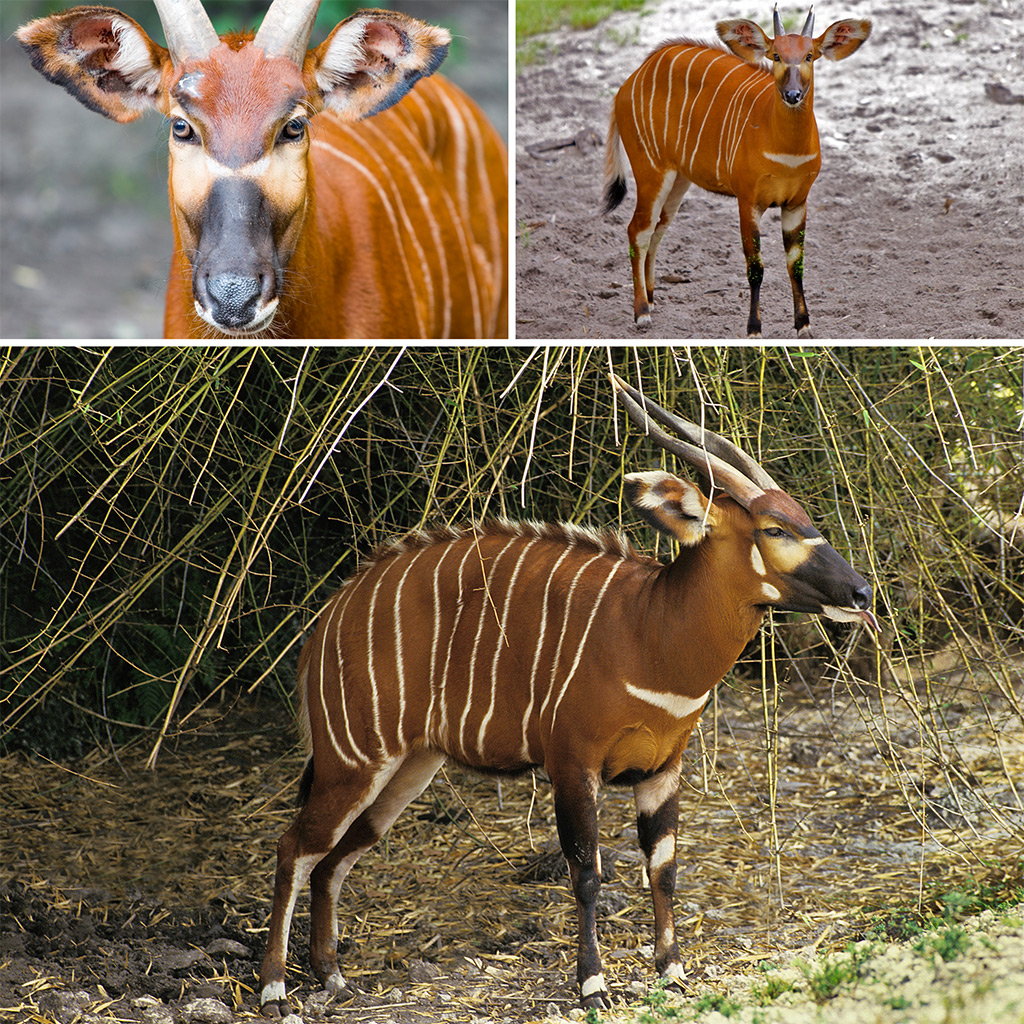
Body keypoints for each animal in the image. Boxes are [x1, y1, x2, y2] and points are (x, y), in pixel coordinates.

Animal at [260, 372, 876, 1011]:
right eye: (774, 529)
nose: (860, 593)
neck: (649, 631)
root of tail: (326, 621)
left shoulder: (663, 769)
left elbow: (663, 868)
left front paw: (672, 971)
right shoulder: (573, 765)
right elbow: (586, 872)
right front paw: (593, 985)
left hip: (405, 771)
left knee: (334, 857)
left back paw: (331, 974)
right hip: (353, 762)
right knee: (294, 847)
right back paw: (275, 988)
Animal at [602, 7, 868, 335]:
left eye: (809, 56)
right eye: (776, 55)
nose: (793, 94)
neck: (785, 151)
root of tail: (627, 84)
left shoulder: (796, 203)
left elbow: (796, 264)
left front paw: (803, 325)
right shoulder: (748, 201)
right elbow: (755, 266)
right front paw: (754, 328)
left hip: (678, 180)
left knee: (657, 229)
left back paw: (651, 300)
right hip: (651, 171)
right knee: (637, 229)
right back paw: (641, 313)